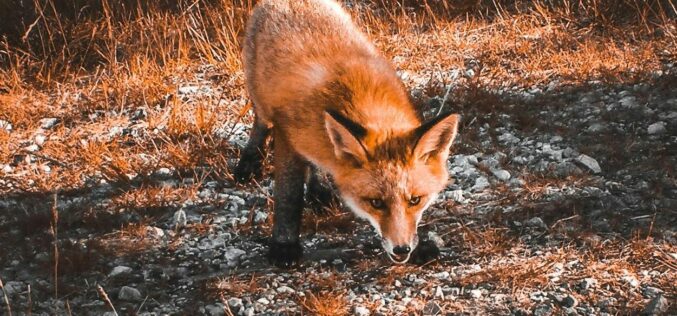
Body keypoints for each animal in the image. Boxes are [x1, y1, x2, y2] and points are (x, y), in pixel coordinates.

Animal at [232, 0, 460, 266]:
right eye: (376, 203)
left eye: (415, 200)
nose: (402, 250)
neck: (359, 96)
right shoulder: (287, 134)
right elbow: (289, 196)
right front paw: (284, 246)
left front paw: (420, 246)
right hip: (261, 99)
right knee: (260, 123)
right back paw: (250, 162)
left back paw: (319, 189)